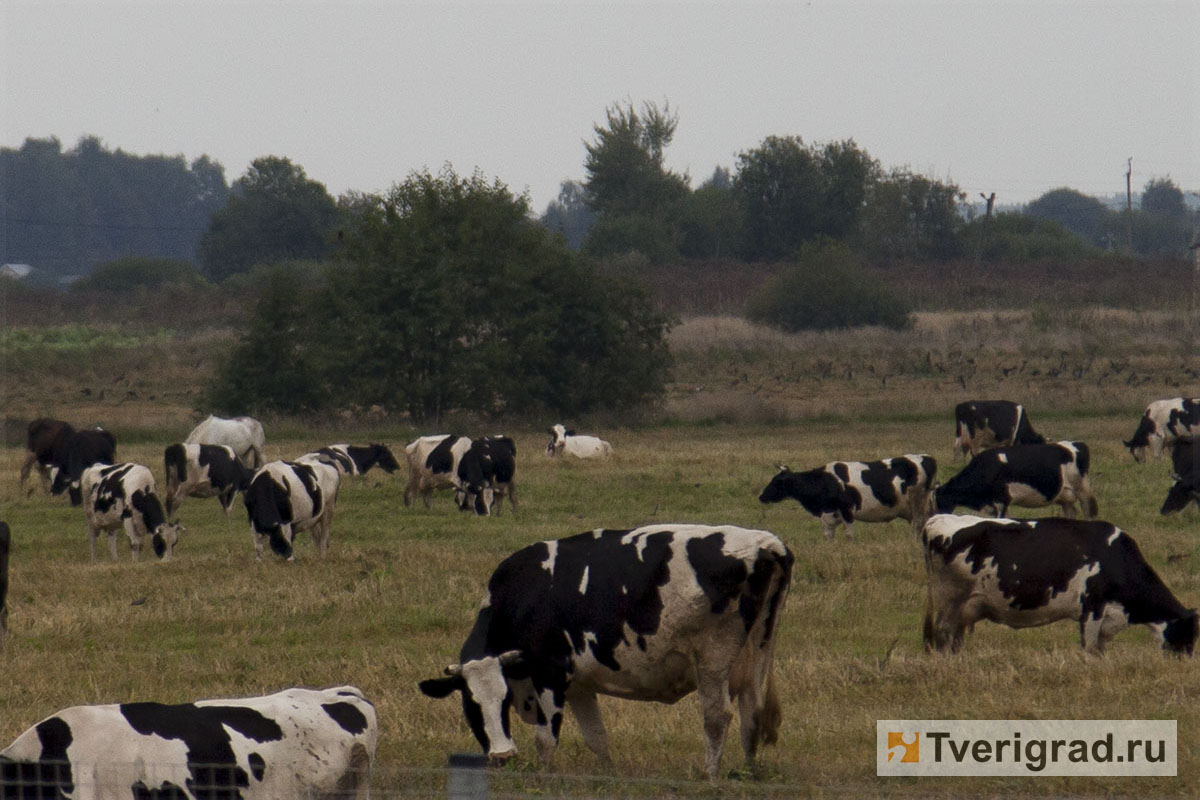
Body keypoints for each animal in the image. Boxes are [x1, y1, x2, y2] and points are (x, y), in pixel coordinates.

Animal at [417, 522, 792, 777]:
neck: (527, 594)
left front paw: (542, 777)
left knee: (717, 717)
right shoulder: (578, 684)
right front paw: (608, 775)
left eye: (503, 699)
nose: (503, 756)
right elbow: (596, 736)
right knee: (751, 714)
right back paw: (747, 771)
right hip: (754, 653)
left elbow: (545, 738)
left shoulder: (550, 671)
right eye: (471, 704)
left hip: (713, 659)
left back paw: (709, 775)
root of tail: (765, 543)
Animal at [758, 455, 936, 537]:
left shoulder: (847, 510)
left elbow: (849, 534)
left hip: (918, 503)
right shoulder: (829, 515)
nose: (761, 497)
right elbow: (828, 535)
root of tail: (926, 457)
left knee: (918, 525)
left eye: (776, 482)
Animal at [921, 515, 1195, 652]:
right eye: (1190, 635)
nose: (1184, 660)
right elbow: (1089, 648)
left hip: (965, 607)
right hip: (950, 599)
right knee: (943, 634)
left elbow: (1100, 650)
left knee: (954, 638)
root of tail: (936, 520)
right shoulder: (1092, 608)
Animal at [936, 438, 1099, 520]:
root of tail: (1077, 443)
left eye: (941, 501)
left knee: (1089, 513)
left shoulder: (1001, 500)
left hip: (1084, 490)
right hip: (1066, 497)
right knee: (1071, 513)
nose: (935, 516)